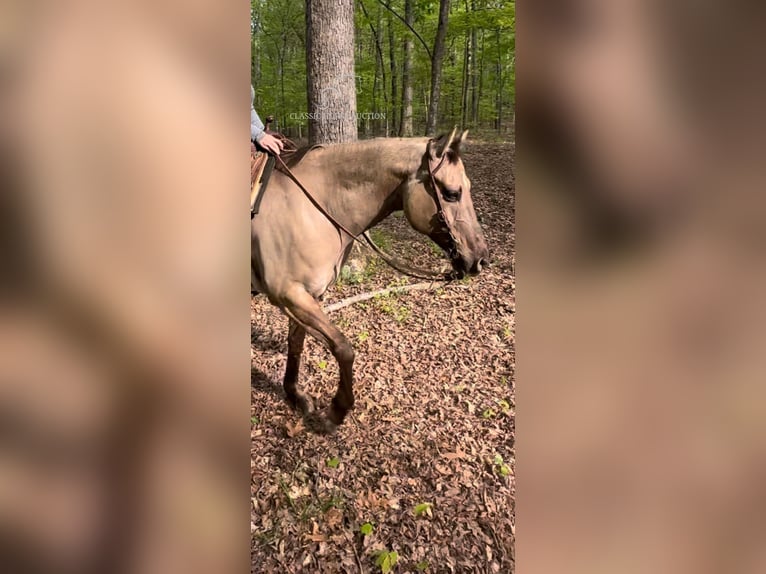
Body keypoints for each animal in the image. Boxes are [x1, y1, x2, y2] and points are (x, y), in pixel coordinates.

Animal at [254, 127, 492, 432]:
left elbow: (296, 342)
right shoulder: (288, 295)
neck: (309, 207)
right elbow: (343, 349)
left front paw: (294, 394)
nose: (480, 259)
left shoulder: (308, 295)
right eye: (452, 194)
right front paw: (337, 410)